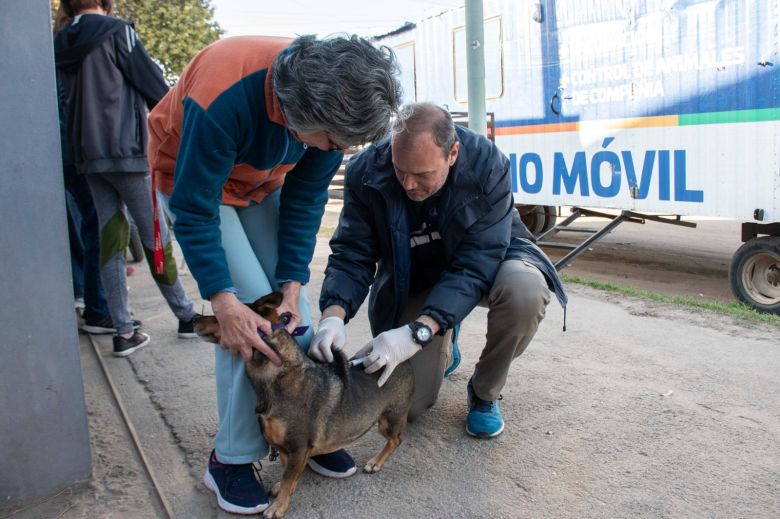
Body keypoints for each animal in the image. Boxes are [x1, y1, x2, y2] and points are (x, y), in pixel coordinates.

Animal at [195, 294, 414, 516]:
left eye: (219, 317)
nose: (195, 318)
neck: (281, 375)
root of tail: (403, 361)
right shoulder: (287, 450)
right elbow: (287, 475)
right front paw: (281, 491)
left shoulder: (298, 448)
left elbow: (288, 477)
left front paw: (278, 507)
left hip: (389, 420)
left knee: (396, 440)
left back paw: (375, 462)